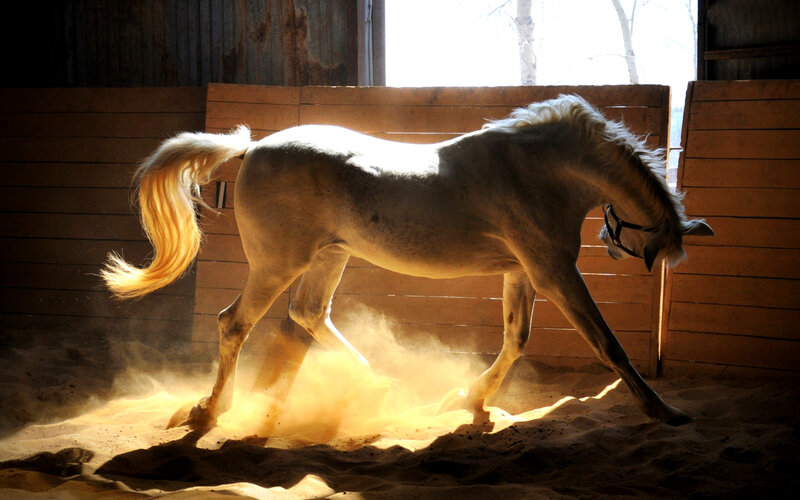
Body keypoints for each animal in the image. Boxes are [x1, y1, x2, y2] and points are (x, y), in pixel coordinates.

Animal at [102, 95, 714, 433]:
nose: (618, 247)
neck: (538, 169)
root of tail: (252, 149)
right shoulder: (553, 272)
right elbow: (607, 344)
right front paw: (664, 411)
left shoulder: (522, 274)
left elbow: (516, 340)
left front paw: (470, 400)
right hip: (277, 264)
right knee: (236, 323)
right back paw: (209, 411)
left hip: (330, 257)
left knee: (309, 315)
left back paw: (377, 385)